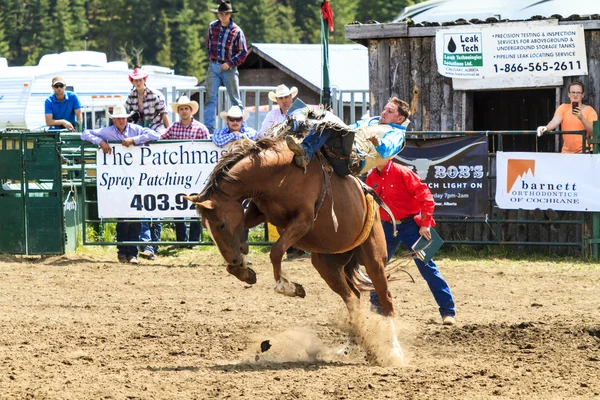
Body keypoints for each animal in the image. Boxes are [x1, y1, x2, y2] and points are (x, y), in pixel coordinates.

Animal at [188, 137, 404, 362]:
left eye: (221, 224)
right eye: (205, 226)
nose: (233, 259)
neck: (278, 174)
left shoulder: (304, 220)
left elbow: (276, 251)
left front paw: (288, 287)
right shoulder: (258, 212)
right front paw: (244, 271)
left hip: (374, 257)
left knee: (385, 299)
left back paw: (394, 351)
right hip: (327, 264)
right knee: (353, 298)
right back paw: (350, 347)